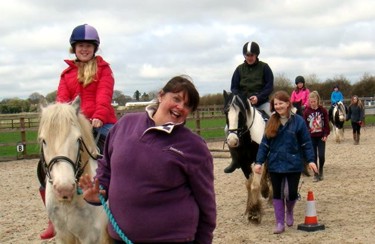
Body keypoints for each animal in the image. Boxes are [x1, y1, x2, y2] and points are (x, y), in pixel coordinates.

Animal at [223, 90, 274, 224]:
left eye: (241, 113)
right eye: (226, 112)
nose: (232, 140)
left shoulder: (258, 160)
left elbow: (254, 185)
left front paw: (255, 213)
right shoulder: (243, 163)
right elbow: (249, 184)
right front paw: (249, 209)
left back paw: (271, 197)